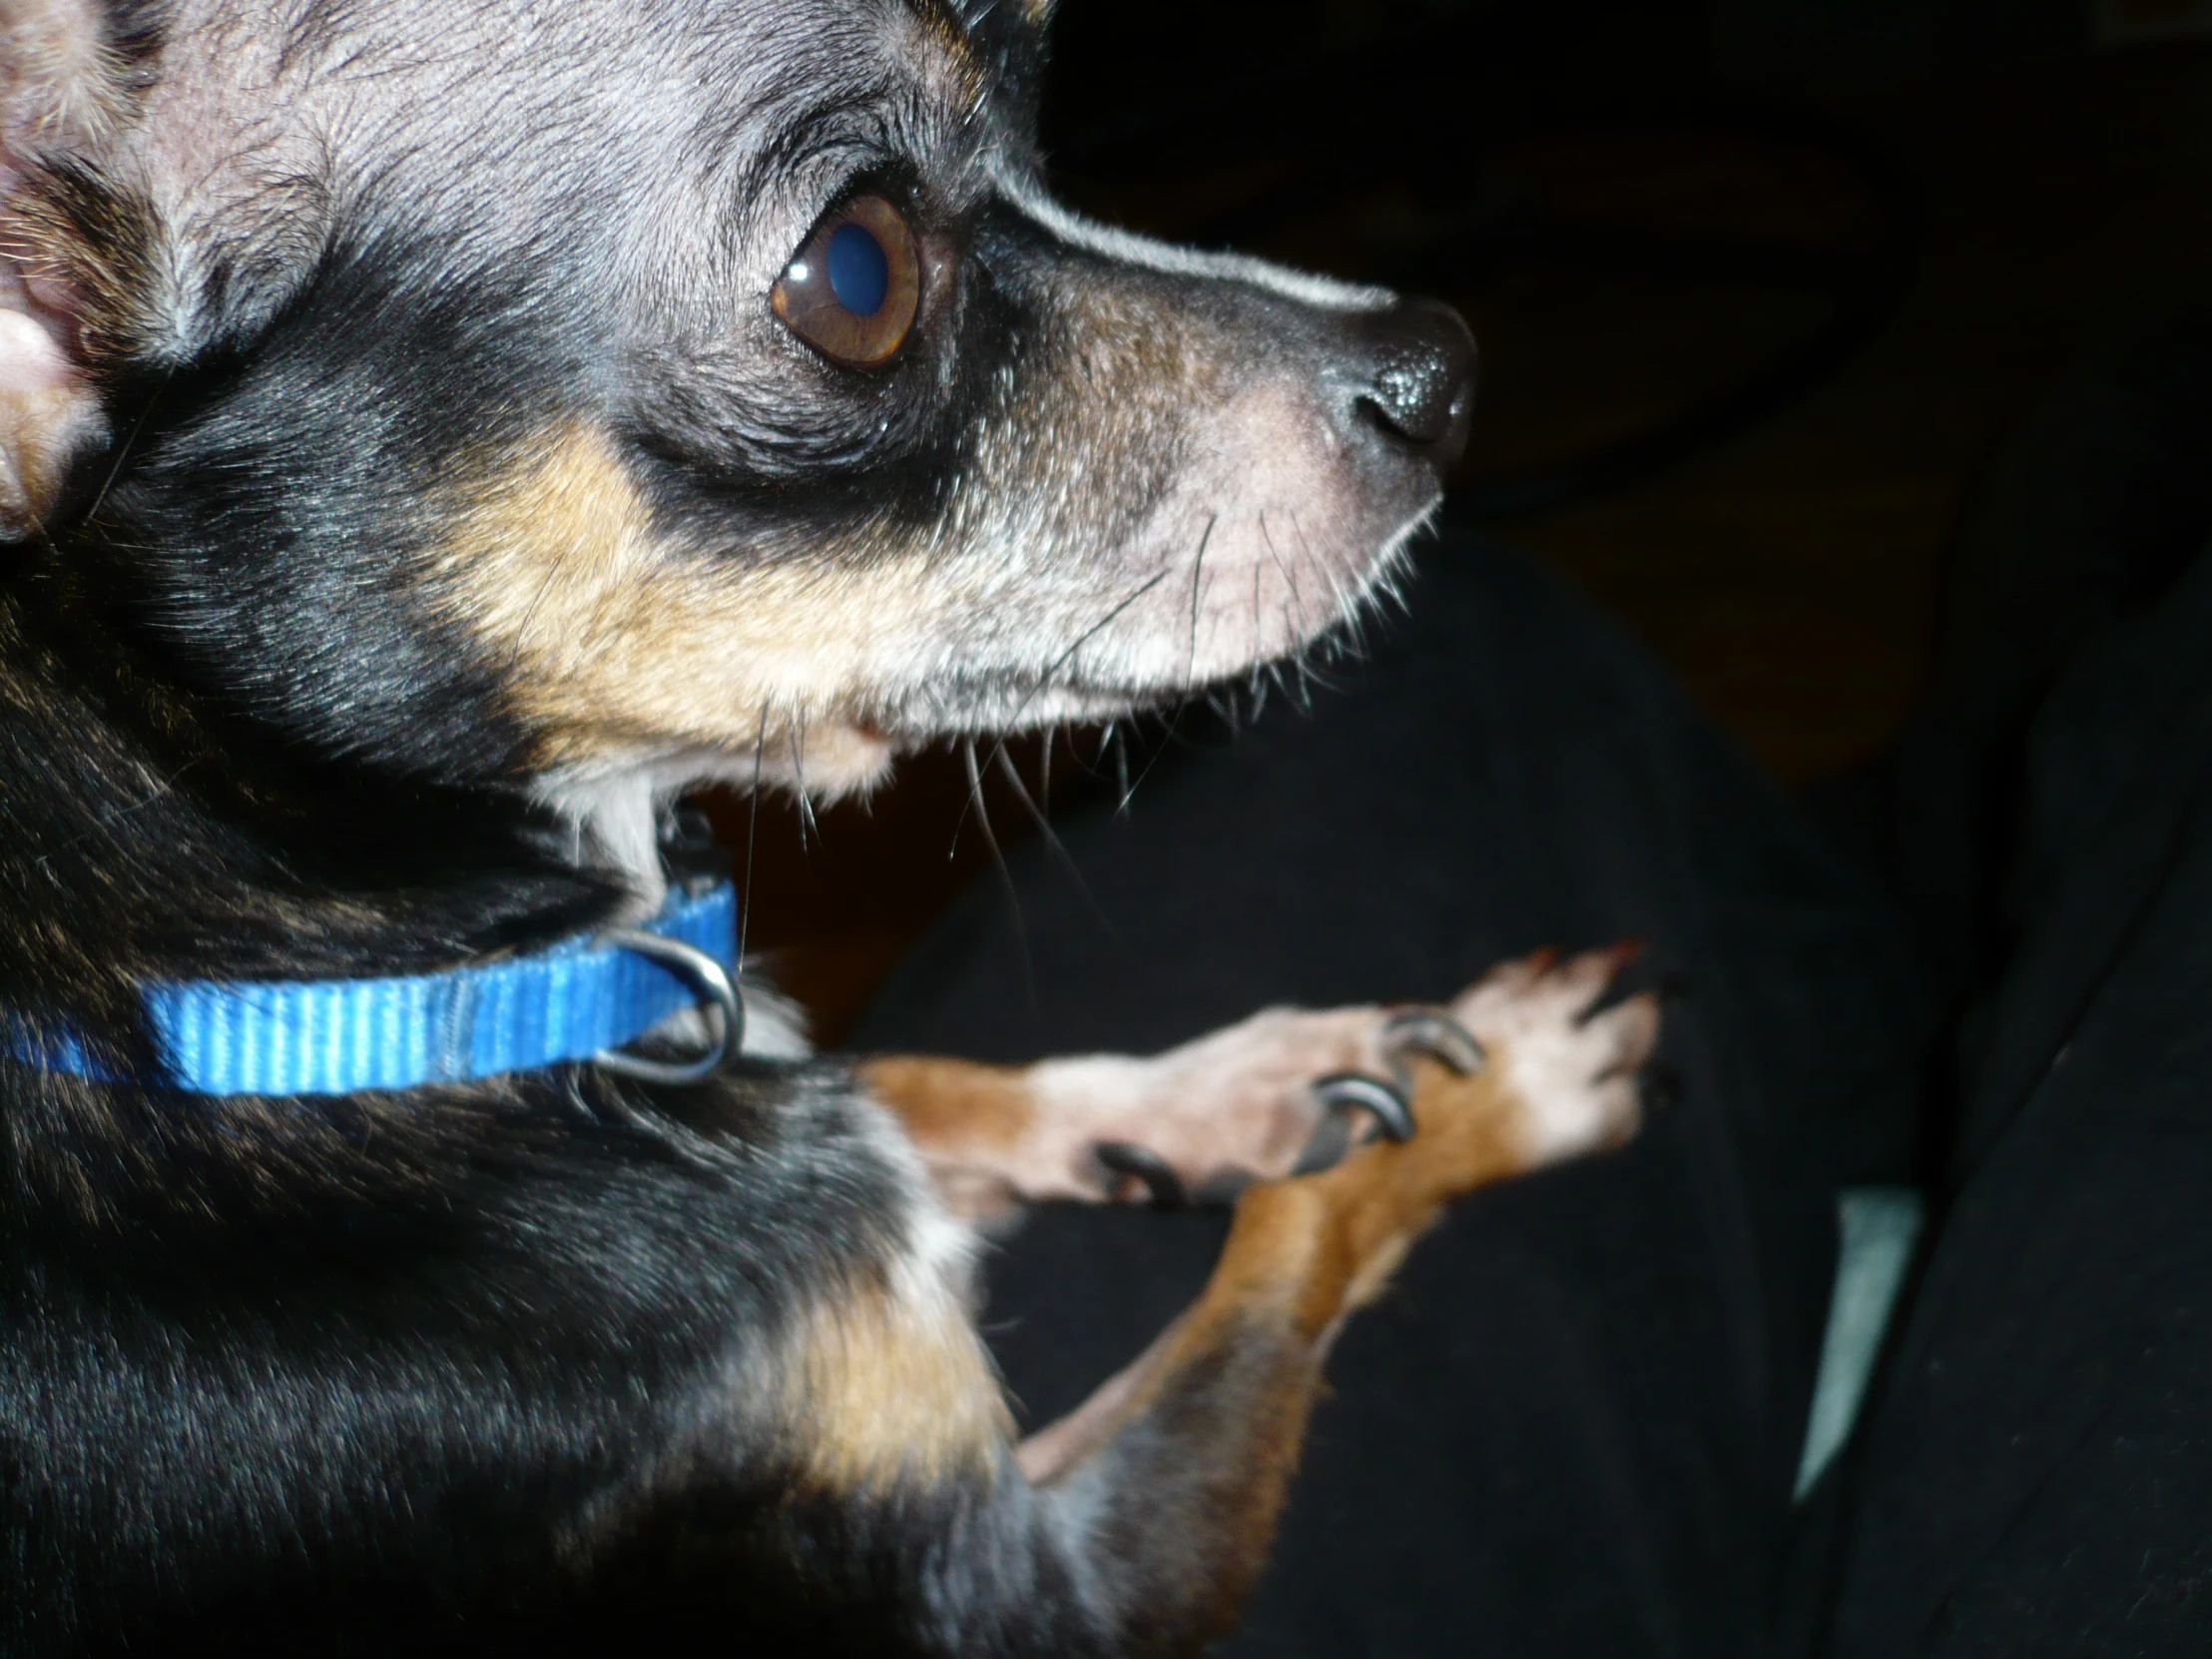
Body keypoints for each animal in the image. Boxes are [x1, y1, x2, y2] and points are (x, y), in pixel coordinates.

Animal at [0, 3, 1663, 1654]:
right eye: (857, 272)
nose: (1443, 372)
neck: (338, 1000)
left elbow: (927, 1080)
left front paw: (1260, 1080)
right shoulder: (1045, 1595)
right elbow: (1291, 1244)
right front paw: (1483, 1089)